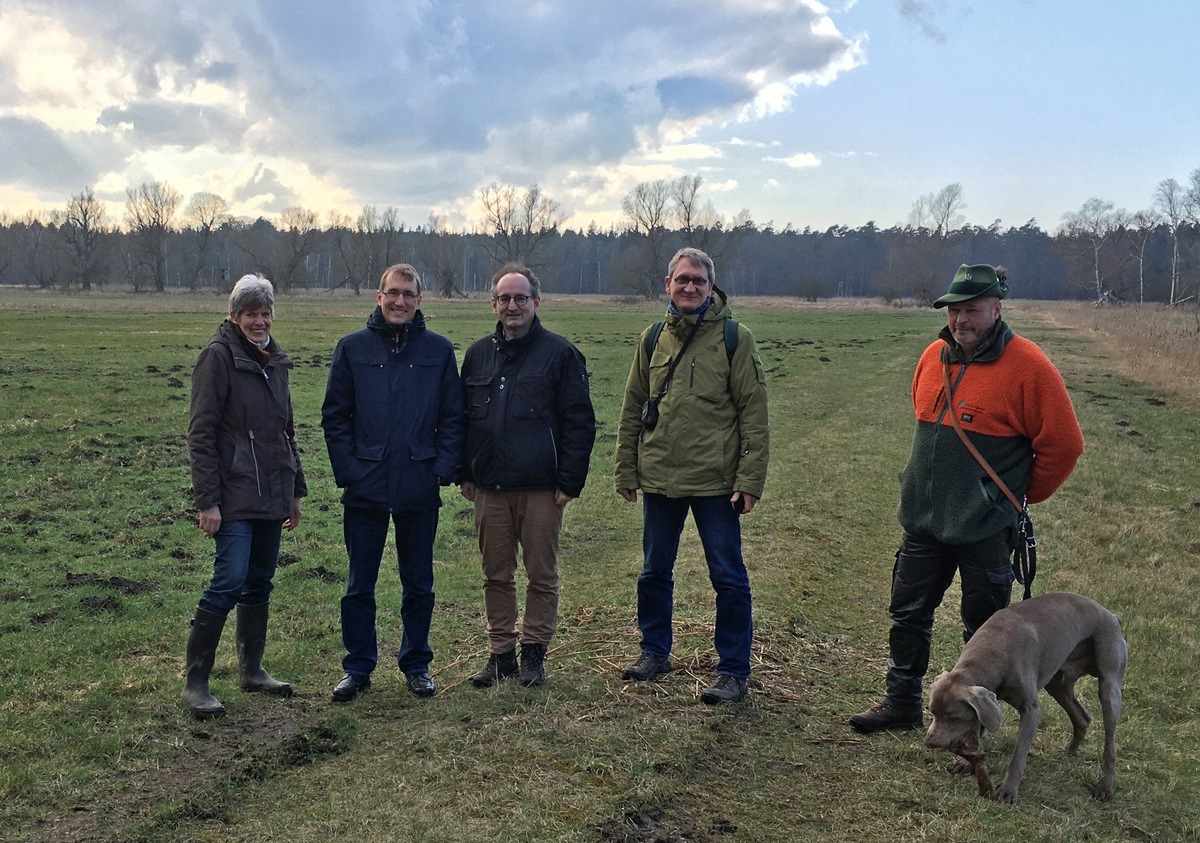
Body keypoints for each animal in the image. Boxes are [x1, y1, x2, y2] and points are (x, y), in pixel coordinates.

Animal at [926, 590, 1123, 806]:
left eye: (953, 718)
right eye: (931, 712)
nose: (929, 743)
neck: (995, 650)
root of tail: (1111, 615)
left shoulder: (1031, 710)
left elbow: (1018, 755)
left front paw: (1008, 791)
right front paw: (965, 763)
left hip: (1109, 686)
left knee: (1110, 744)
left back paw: (1104, 787)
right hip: (1057, 684)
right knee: (1082, 718)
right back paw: (1068, 752)